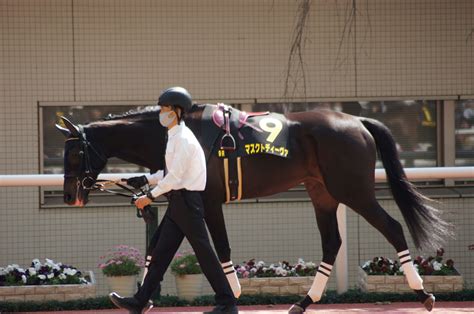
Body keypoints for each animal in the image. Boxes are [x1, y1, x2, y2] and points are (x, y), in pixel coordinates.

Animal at [55, 103, 448, 312]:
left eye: (74, 153)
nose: (69, 195)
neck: (180, 133)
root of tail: (356, 120)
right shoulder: (184, 198)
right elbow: (160, 245)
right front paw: (138, 298)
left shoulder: (207, 200)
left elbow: (218, 248)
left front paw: (231, 295)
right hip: (322, 192)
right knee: (332, 243)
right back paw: (304, 301)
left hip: (353, 190)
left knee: (392, 227)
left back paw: (423, 293)